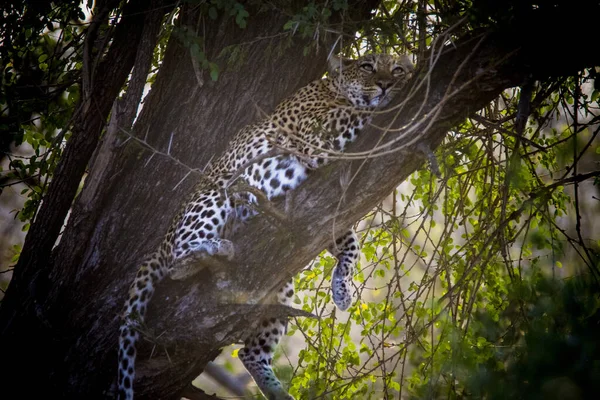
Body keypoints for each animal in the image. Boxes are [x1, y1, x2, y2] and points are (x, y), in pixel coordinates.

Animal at [119, 53, 414, 400]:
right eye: (368, 66)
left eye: (396, 68)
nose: (387, 84)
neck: (333, 89)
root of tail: (162, 241)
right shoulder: (318, 137)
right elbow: (360, 112)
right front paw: (393, 96)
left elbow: (349, 242)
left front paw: (342, 288)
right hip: (218, 191)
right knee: (178, 260)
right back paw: (216, 248)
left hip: (279, 285)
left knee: (250, 352)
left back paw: (276, 391)